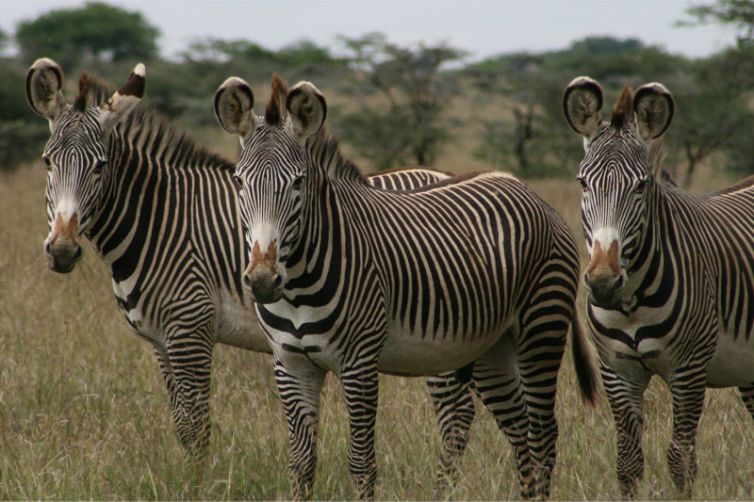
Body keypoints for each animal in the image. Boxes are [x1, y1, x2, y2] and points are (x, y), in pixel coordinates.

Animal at [24, 57, 483, 490]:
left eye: (99, 167)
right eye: (47, 163)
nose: (61, 251)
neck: (158, 220)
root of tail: (444, 174)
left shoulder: (191, 329)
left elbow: (196, 429)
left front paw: (199, 487)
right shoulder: (161, 340)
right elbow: (181, 425)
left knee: (456, 415)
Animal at [214, 74, 597, 500]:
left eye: (298, 183)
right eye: (239, 181)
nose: (263, 281)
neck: (298, 285)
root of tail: (528, 190)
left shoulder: (359, 362)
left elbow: (361, 463)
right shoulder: (290, 363)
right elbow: (301, 464)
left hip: (541, 328)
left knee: (543, 434)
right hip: (494, 345)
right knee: (520, 431)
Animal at [563, 77, 754, 497]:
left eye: (641, 186)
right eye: (582, 183)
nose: (603, 282)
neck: (631, 302)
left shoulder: (689, 369)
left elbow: (681, 462)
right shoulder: (618, 370)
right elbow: (628, 463)